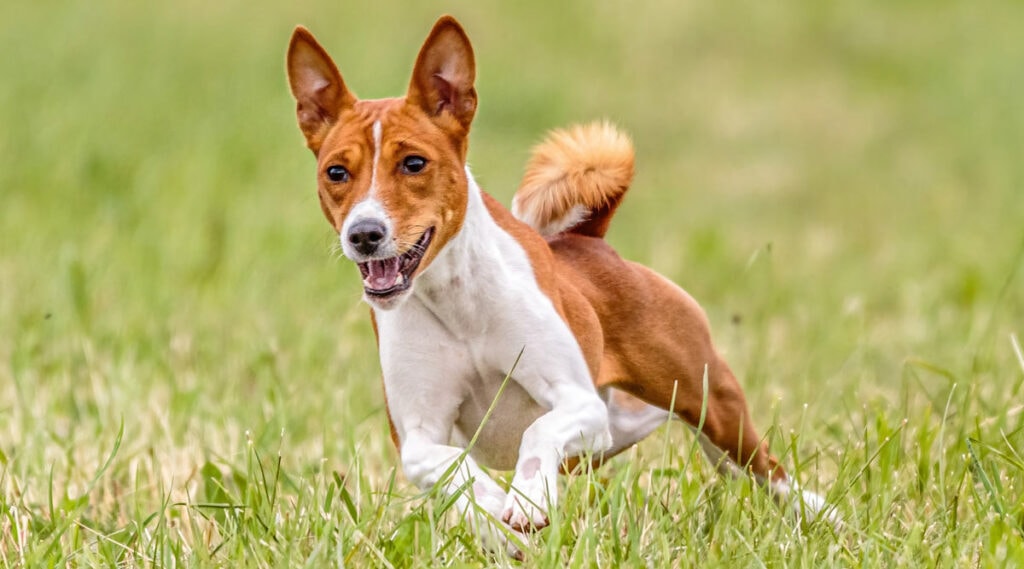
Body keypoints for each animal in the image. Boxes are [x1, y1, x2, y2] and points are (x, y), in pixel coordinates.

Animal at [284, 15, 827, 556]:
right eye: (336, 171)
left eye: (414, 163)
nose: (364, 234)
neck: (458, 307)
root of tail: (590, 241)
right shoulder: (417, 435)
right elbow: (451, 469)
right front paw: (494, 511)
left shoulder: (578, 402)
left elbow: (538, 432)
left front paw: (526, 499)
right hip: (625, 426)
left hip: (709, 407)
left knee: (771, 473)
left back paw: (827, 518)